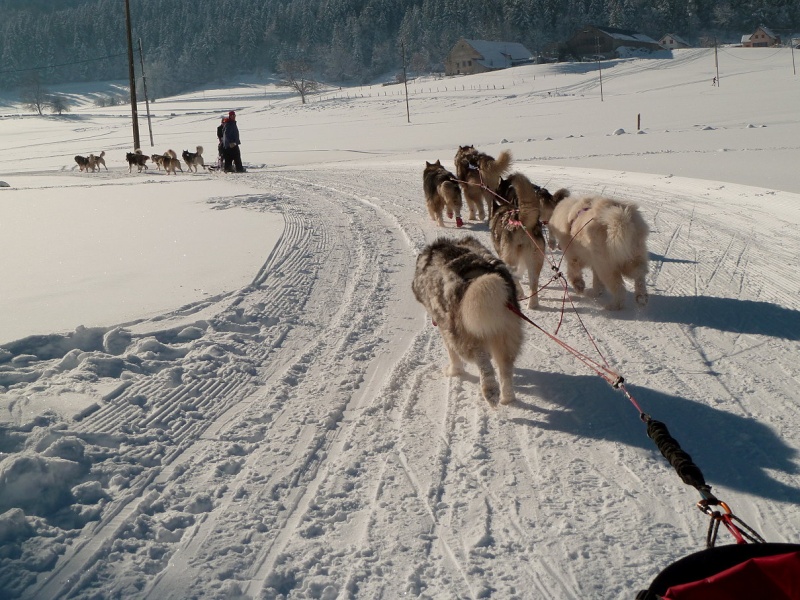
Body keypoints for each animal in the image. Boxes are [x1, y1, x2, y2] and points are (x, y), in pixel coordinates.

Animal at [416, 237, 520, 406]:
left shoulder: (446, 330)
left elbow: (452, 355)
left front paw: (453, 371)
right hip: (506, 334)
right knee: (505, 366)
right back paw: (507, 398)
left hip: (463, 336)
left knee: (482, 360)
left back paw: (490, 390)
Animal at [490, 171, 572, 308]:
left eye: (498, 187)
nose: (493, 192)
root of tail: (522, 222)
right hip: (536, 259)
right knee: (533, 283)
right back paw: (532, 304)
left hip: (510, 259)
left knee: (514, 275)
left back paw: (520, 293)